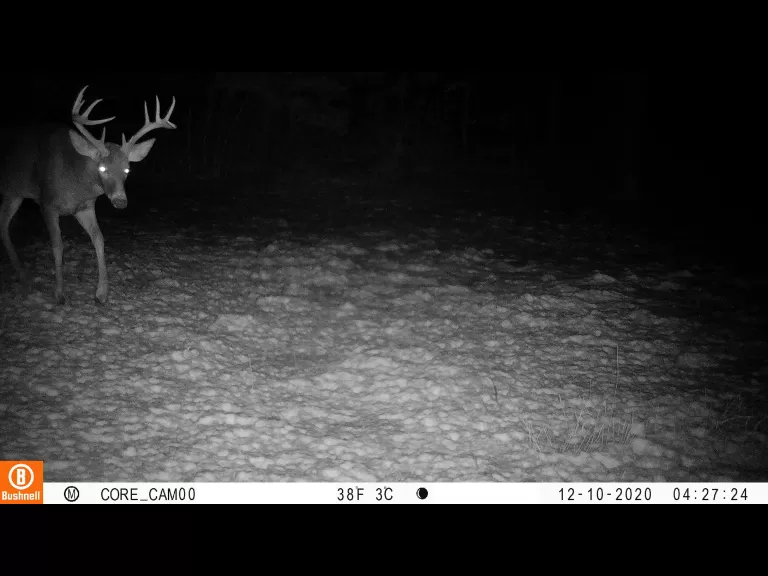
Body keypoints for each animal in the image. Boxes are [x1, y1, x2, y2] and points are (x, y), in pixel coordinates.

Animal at [0, 86, 176, 305]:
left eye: (127, 169)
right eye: (102, 167)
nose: (120, 201)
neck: (74, 179)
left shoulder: (85, 207)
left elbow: (99, 239)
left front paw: (101, 293)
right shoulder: (47, 203)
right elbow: (57, 245)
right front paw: (60, 294)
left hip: (14, 194)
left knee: (3, 226)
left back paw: (22, 274)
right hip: (11, 191)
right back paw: (23, 275)